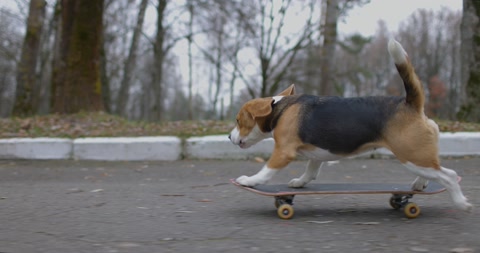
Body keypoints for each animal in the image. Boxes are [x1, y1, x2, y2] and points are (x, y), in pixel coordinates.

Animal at [229, 38, 472, 211]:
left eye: (238, 120)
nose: (229, 137)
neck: (281, 108)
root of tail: (410, 104)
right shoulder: (316, 153)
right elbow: (311, 170)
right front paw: (300, 182)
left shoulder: (282, 152)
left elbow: (265, 171)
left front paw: (250, 180)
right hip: (418, 156)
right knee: (434, 170)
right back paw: (419, 185)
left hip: (410, 155)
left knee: (449, 175)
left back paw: (461, 202)